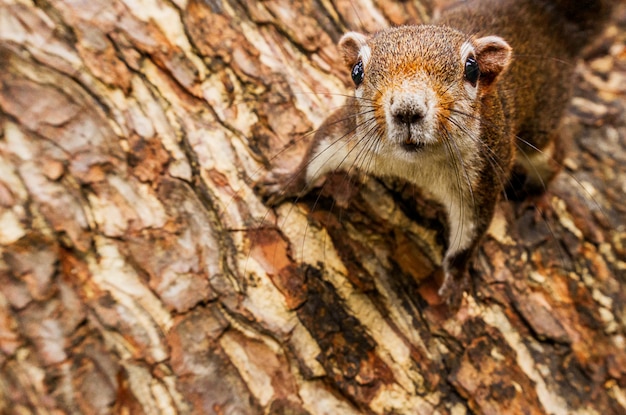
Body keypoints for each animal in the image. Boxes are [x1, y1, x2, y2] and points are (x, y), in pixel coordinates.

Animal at [256, 0, 612, 306]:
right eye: (357, 70)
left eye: (472, 69)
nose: (407, 109)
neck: (414, 164)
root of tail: (547, 19)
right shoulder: (348, 131)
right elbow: (314, 156)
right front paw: (284, 183)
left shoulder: (484, 174)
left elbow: (469, 235)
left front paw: (455, 281)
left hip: (538, 130)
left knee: (557, 150)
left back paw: (539, 197)